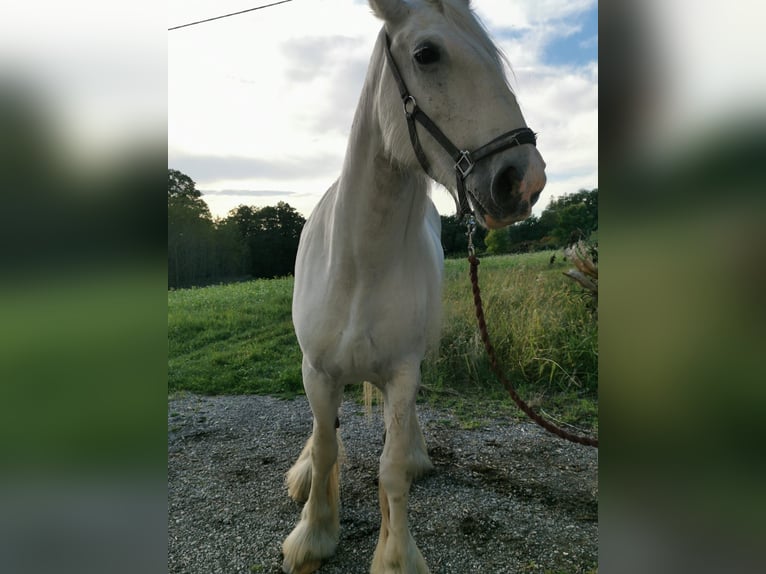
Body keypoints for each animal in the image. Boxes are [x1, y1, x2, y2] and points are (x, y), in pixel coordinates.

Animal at [281, 1, 546, 572]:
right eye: (427, 54)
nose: (524, 180)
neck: (361, 263)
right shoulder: (317, 371)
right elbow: (326, 445)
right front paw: (313, 533)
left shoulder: (404, 372)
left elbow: (393, 466)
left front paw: (396, 554)